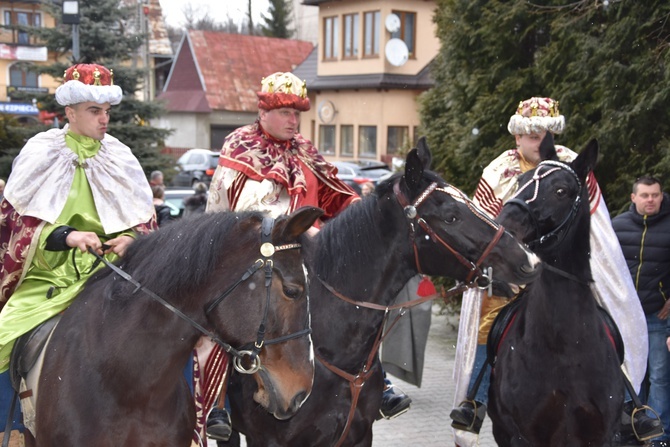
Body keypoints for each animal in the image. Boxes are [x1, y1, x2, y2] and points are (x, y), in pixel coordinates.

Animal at [488, 136, 624, 447]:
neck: (565, 348)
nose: (503, 228)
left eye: (561, 190)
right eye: (521, 181)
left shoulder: (601, 435)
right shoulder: (522, 435)